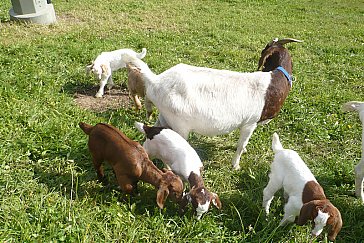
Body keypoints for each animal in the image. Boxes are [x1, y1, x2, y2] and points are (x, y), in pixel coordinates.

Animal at [125, 38, 302, 171]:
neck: (272, 84)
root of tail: (155, 81)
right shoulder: (250, 123)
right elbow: (241, 144)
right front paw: (235, 165)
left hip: (164, 115)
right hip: (179, 124)